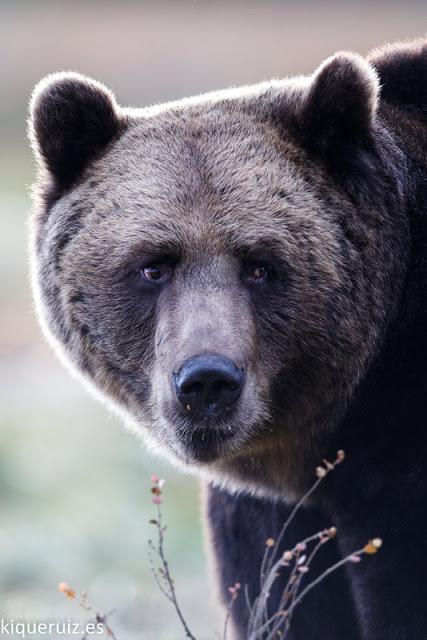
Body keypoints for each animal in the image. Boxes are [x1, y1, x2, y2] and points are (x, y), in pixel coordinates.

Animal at [28, 38, 427, 640]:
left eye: (260, 265)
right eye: (153, 266)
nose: (207, 381)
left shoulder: (397, 469)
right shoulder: (270, 512)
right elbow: (283, 598)